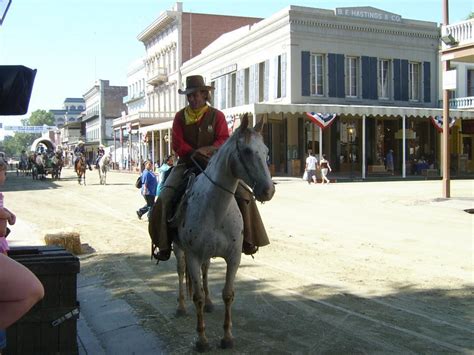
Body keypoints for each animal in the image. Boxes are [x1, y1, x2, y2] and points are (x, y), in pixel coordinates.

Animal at [171, 113, 274, 350]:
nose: (268, 190)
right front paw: (201, 339)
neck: (215, 209)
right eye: (247, 151)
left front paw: (227, 337)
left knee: (206, 270)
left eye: (266, 151)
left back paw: (210, 303)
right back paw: (181, 306)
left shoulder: (233, 256)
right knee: (180, 272)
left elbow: (227, 294)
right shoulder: (192, 255)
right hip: (179, 249)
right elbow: (197, 296)